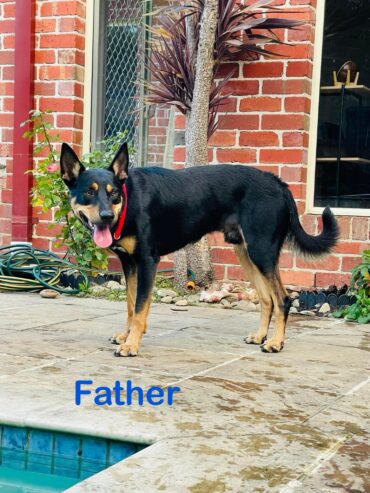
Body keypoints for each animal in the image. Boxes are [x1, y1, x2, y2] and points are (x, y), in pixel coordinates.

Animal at [60, 144, 338, 356]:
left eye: (114, 194)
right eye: (89, 193)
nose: (106, 216)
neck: (130, 202)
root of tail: (279, 184)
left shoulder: (148, 261)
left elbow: (140, 308)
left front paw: (131, 345)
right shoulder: (129, 264)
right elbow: (130, 305)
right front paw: (126, 336)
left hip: (262, 252)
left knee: (282, 299)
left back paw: (276, 343)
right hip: (246, 253)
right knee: (267, 299)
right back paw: (260, 336)